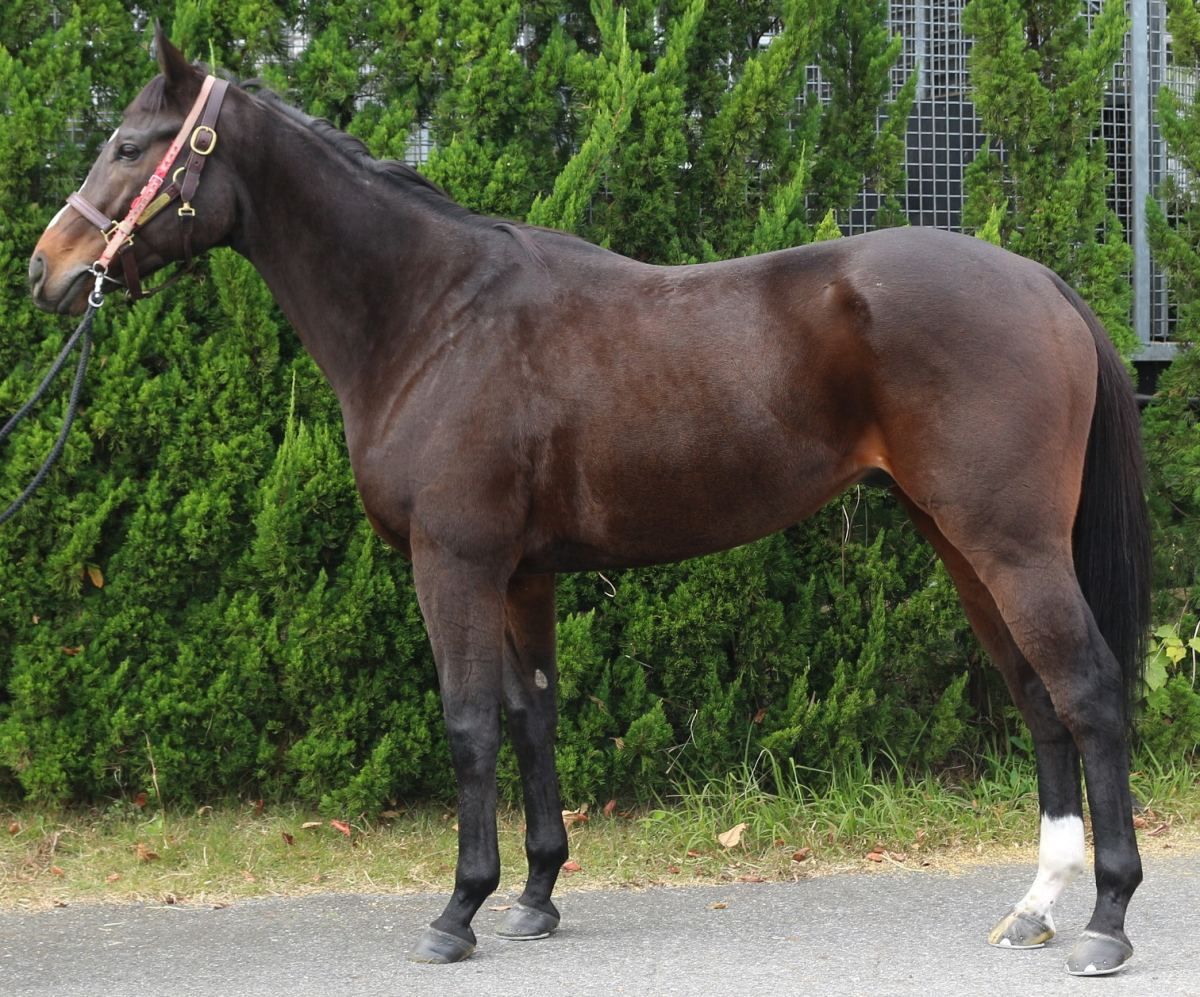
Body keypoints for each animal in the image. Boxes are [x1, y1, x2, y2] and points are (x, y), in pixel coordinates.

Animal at [28, 25, 1149, 976]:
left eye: (130, 145)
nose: (49, 269)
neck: (435, 316)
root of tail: (1042, 282)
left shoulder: (456, 562)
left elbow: (469, 722)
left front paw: (457, 912)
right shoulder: (523, 575)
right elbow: (533, 717)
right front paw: (533, 895)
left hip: (1010, 544)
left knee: (1088, 689)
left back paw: (1105, 919)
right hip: (960, 541)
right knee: (1036, 695)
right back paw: (1037, 907)